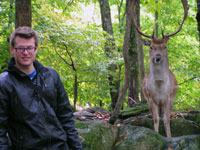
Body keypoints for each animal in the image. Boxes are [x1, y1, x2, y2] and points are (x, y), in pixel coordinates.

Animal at [130, 0, 188, 138]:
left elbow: (166, 119)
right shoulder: (150, 99)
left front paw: (169, 137)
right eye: (151, 46)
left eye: (165, 46)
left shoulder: (169, 99)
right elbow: (155, 119)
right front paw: (156, 135)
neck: (160, 86)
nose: (157, 57)